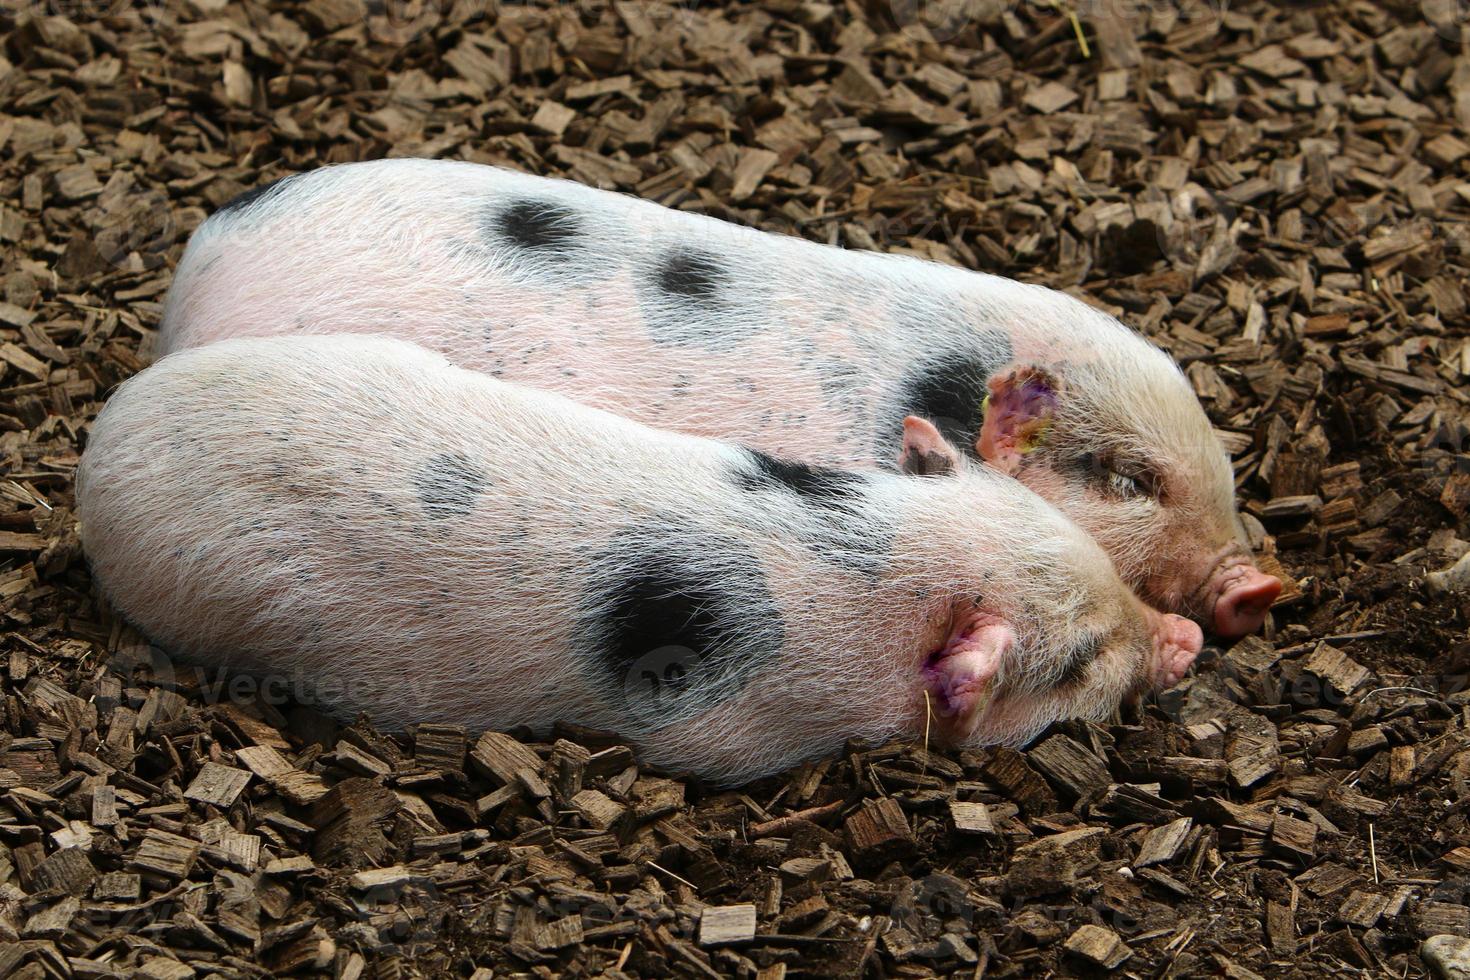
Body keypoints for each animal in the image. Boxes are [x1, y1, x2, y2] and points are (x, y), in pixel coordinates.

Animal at [74, 333, 1205, 787]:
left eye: (1099, 565)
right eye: (1075, 663)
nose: (1189, 636)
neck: (876, 562)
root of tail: (102, 443)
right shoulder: (729, 736)